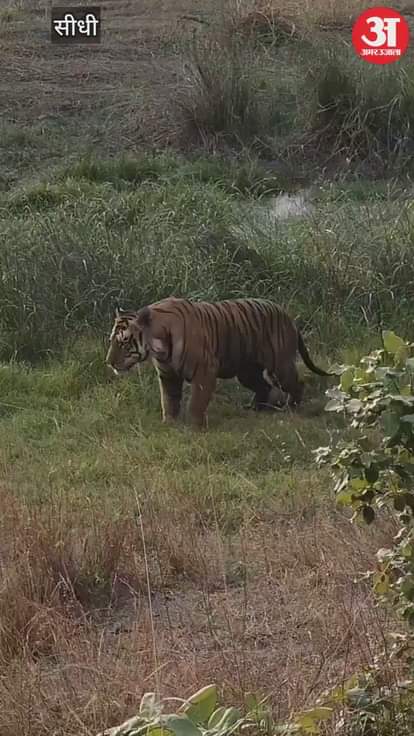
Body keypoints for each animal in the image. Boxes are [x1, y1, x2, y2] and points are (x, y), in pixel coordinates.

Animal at [105, 296, 331, 429]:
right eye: (111, 341)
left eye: (124, 342)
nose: (108, 363)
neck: (159, 348)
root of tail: (288, 317)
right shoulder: (168, 375)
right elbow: (168, 400)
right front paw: (168, 424)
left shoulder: (204, 370)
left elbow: (196, 402)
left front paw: (194, 427)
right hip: (247, 372)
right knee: (264, 386)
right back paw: (255, 408)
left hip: (279, 367)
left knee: (297, 383)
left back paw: (291, 407)